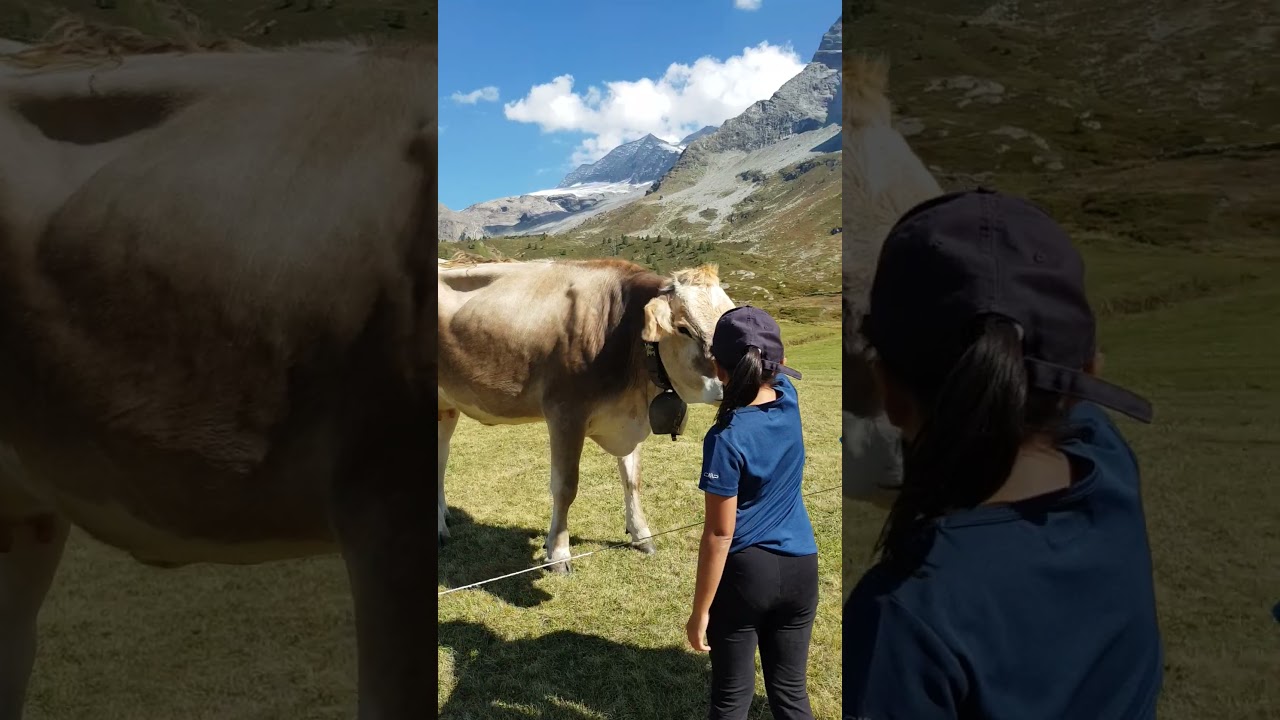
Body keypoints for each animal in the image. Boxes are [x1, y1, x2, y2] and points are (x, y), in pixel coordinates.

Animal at [437, 256, 735, 573]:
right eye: (683, 328)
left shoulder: (628, 419)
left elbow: (632, 479)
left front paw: (641, 534)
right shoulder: (565, 414)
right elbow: (565, 487)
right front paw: (558, 553)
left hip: (446, 405)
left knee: (441, 458)